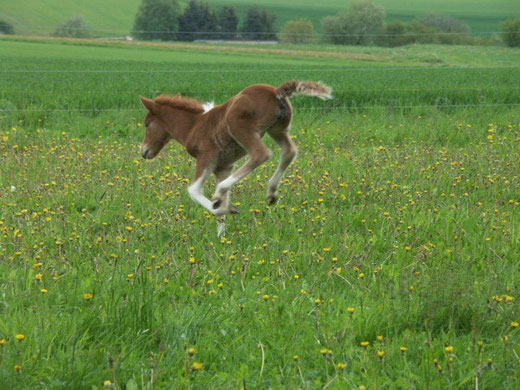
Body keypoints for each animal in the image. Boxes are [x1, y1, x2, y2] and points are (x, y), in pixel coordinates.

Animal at [140, 80, 332, 235]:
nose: (144, 151)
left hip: (240, 127)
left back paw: (221, 192)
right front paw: (222, 239)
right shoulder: (223, 167)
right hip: (278, 129)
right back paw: (271, 192)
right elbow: (222, 205)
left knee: (261, 154)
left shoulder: (207, 157)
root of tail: (276, 91)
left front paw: (219, 207)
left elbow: (194, 190)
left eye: (147, 125)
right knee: (289, 152)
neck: (194, 125)